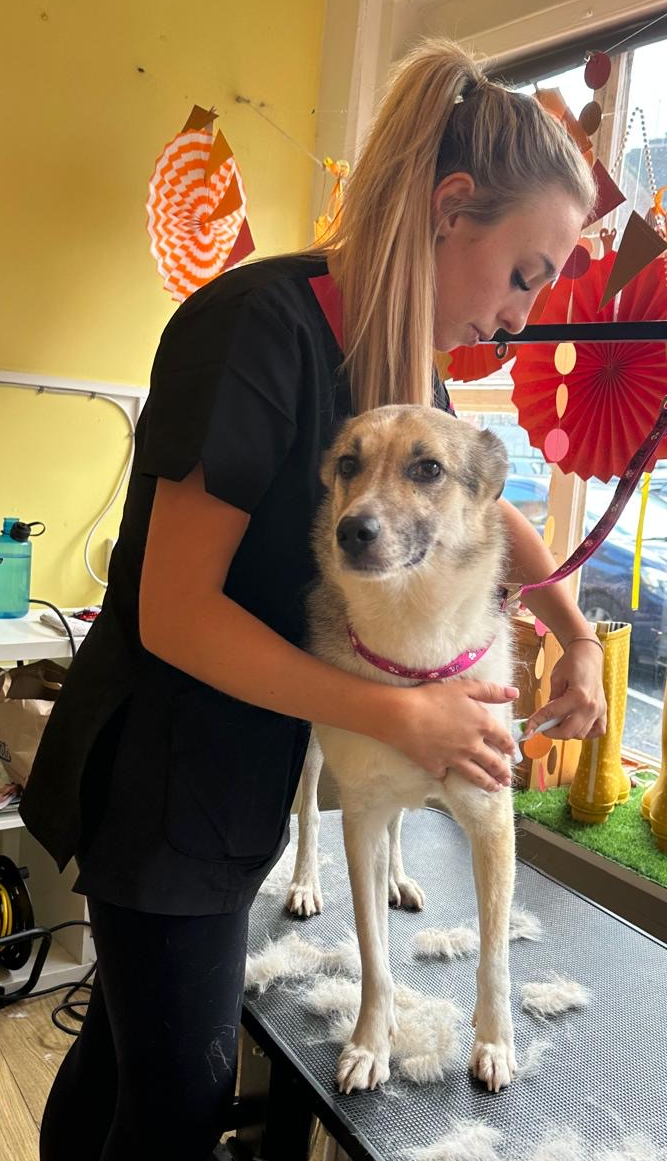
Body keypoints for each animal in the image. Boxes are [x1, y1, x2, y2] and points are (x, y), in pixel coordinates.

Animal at [286, 404, 517, 1095]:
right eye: (348, 464)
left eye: (428, 469)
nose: (351, 531)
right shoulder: (359, 818)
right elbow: (373, 953)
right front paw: (370, 1043)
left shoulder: (491, 818)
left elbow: (495, 955)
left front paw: (495, 1042)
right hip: (314, 753)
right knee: (309, 814)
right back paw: (304, 882)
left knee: (399, 830)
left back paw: (399, 880)